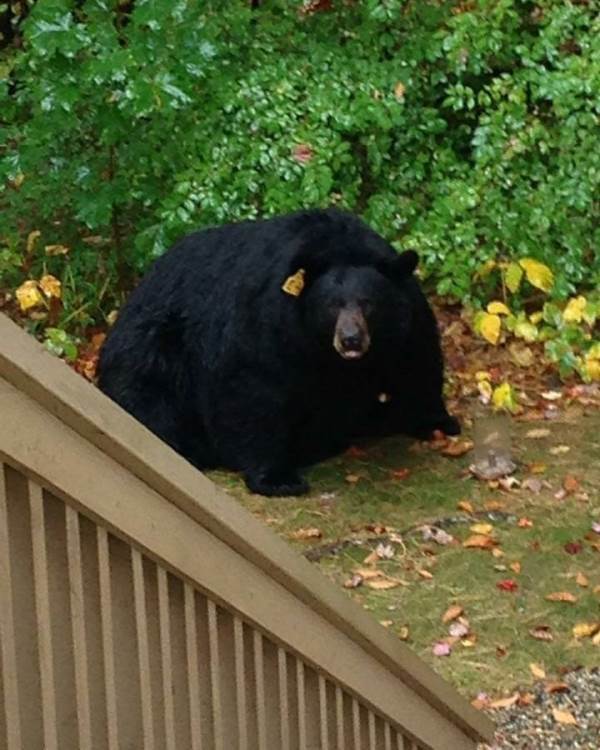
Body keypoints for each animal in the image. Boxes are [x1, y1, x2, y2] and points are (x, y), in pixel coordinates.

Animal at [97, 208, 459, 496]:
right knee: (146, 392)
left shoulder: (404, 321)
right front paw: (278, 478)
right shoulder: (267, 322)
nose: (351, 340)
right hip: (155, 345)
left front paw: (438, 422)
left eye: (368, 303)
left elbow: (416, 362)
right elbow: (252, 390)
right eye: (332, 306)